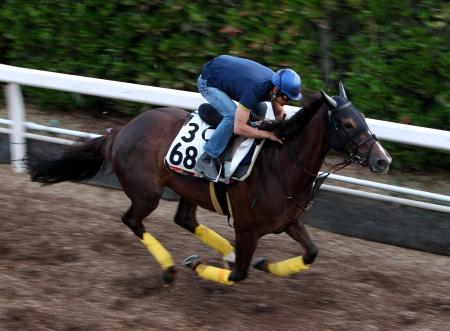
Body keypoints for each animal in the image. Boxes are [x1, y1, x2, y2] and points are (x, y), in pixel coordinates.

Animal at [26, 82, 390, 286]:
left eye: (364, 119)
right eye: (347, 123)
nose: (383, 160)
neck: (281, 165)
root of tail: (120, 131)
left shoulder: (289, 220)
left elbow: (312, 253)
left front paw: (265, 263)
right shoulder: (247, 229)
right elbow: (239, 275)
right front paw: (198, 264)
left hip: (187, 189)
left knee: (184, 219)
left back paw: (221, 253)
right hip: (146, 193)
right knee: (133, 220)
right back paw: (170, 268)